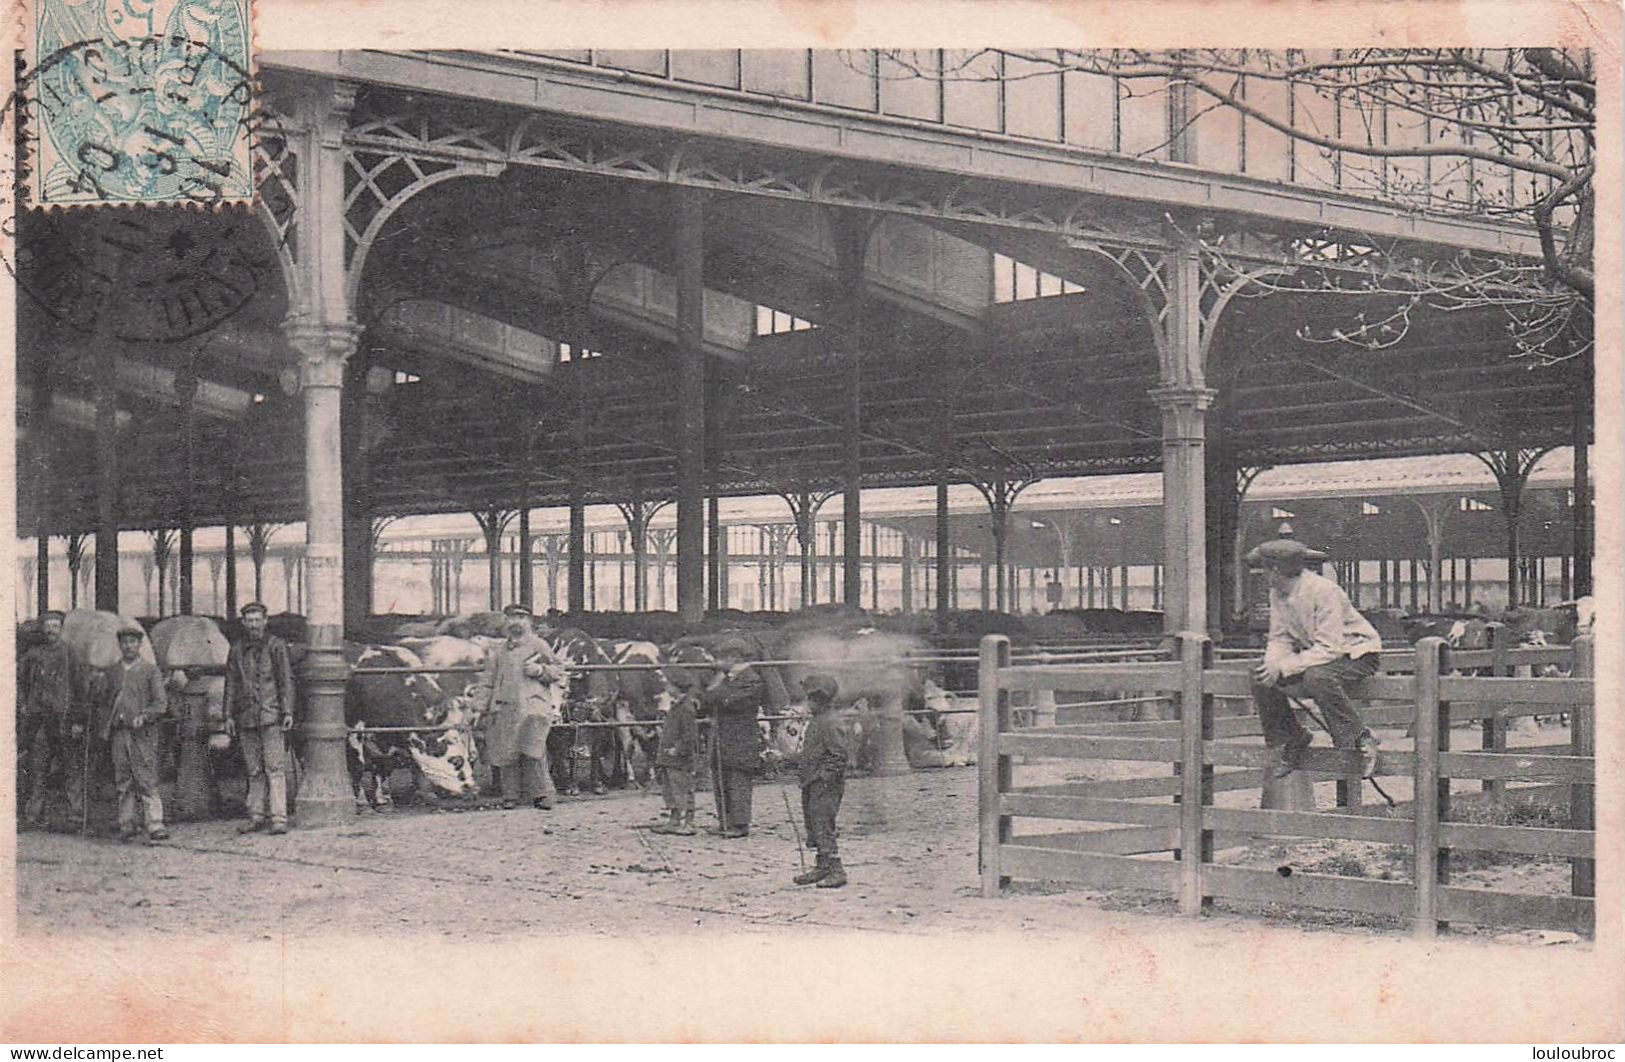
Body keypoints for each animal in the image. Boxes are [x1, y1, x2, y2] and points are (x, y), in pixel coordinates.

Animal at [346, 646, 477, 811]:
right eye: (456, 760)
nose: (472, 788)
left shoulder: (385, 738)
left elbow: (383, 765)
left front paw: (383, 801)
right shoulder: (354, 730)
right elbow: (357, 765)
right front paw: (362, 803)